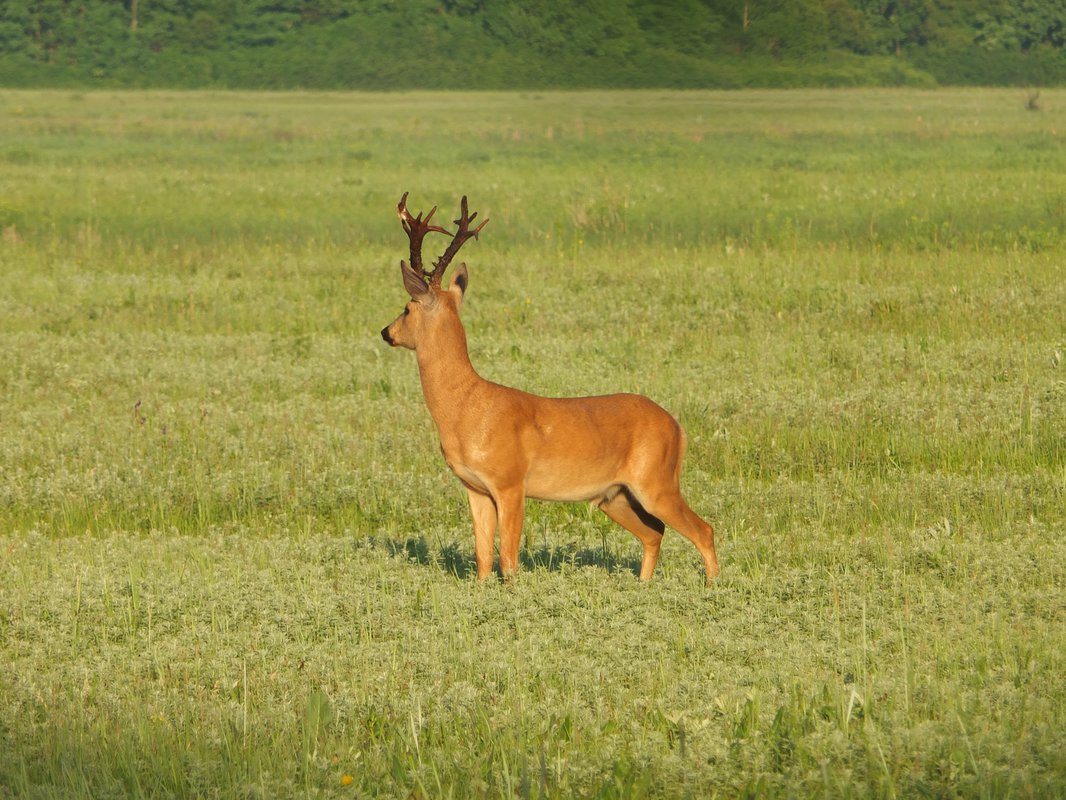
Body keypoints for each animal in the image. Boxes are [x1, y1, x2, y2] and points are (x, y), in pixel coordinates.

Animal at [379, 190, 720, 584]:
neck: (465, 406)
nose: (386, 331)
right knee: (655, 533)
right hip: (616, 495)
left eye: (407, 307)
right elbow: (482, 559)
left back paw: (713, 588)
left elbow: (509, 561)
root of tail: (678, 427)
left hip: (656, 481)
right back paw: (644, 585)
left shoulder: (511, 483)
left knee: (703, 530)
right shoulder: (475, 488)